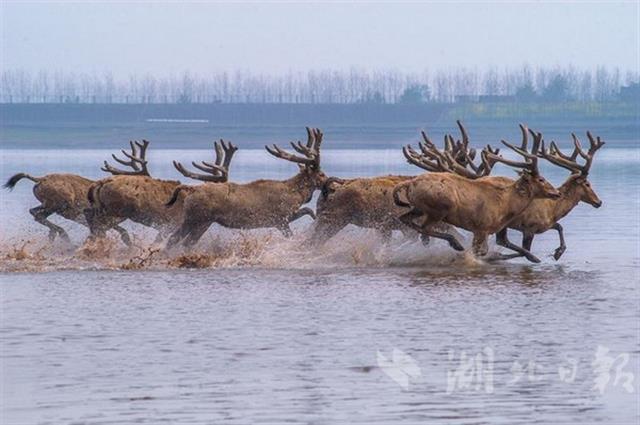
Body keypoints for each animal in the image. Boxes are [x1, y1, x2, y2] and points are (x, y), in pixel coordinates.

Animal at [165, 126, 324, 247]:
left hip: (199, 220)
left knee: (179, 240)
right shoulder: (280, 218)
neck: (296, 195)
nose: (327, 180)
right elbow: (301, 219)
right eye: (321, 174)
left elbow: (307, 210)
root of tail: (192, 189)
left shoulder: (280, 219)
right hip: (197, 219)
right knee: (179, 240)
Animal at [392, 126, 564, 262]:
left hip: (419, 208)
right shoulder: (481, 227)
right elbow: (480, 251)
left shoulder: (486, 229)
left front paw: (534, 257)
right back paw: (455, 244)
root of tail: (409, 183)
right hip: (439, 208)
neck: (506, 205)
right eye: (541, 179)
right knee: (424, 228)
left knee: (406, 219)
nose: (556, 193)